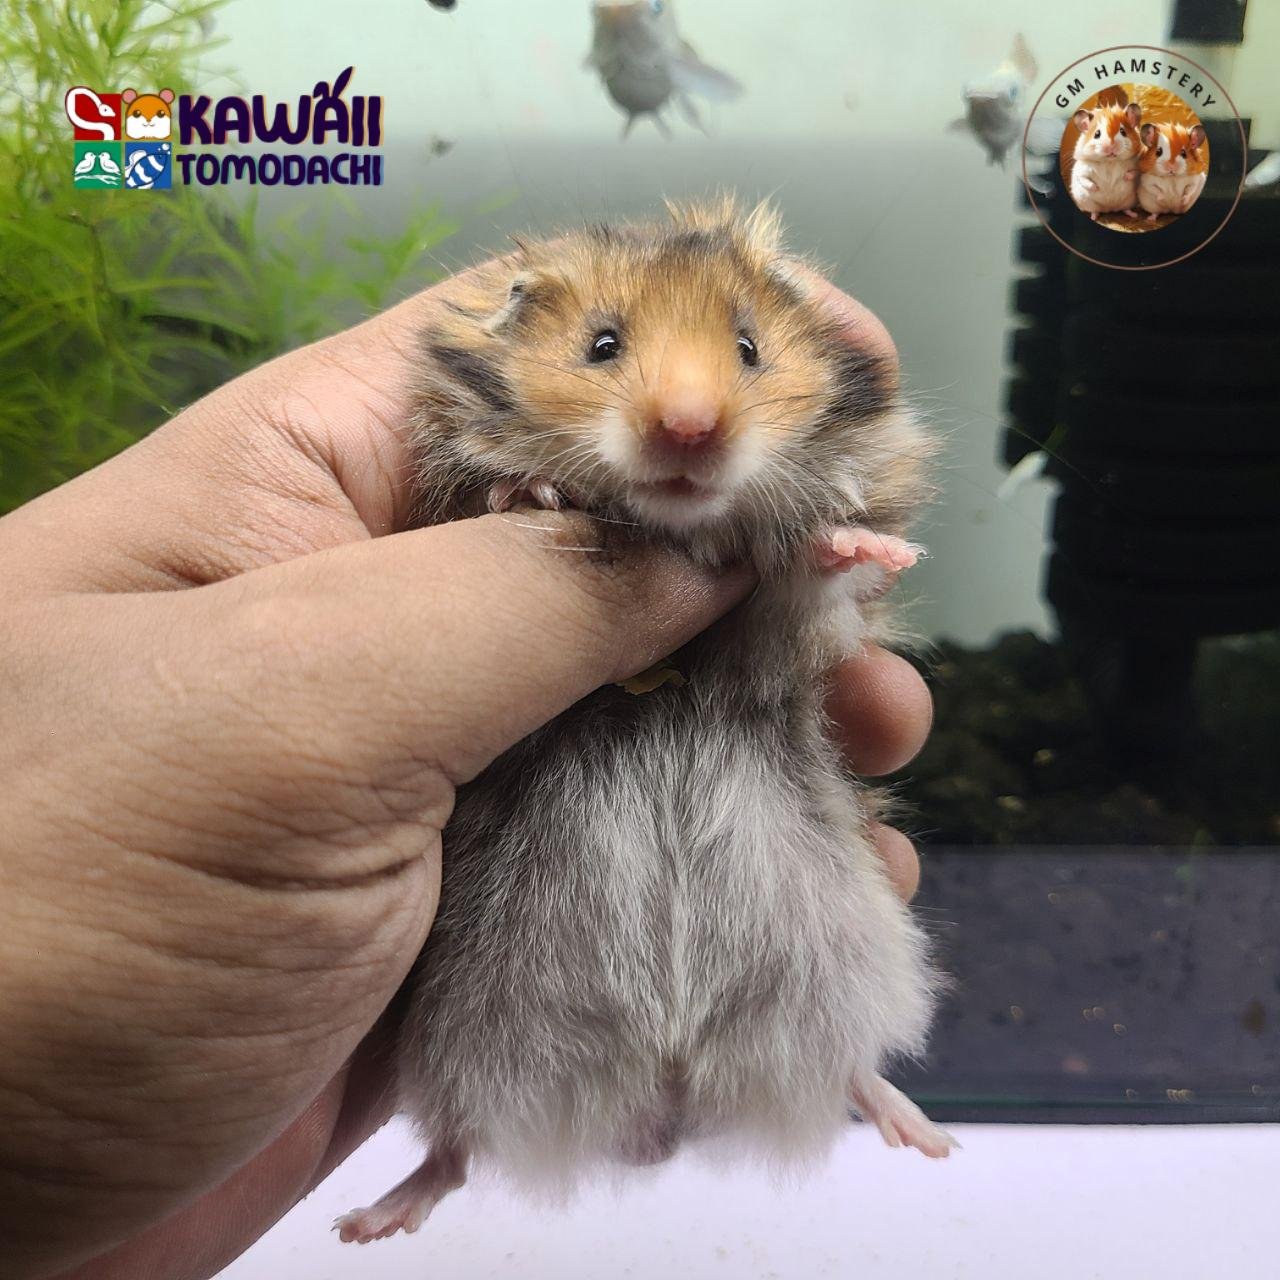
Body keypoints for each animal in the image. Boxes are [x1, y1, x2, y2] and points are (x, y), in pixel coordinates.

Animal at [335, 199, 952, 1245]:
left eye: (748, 348)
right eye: (602, 345)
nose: (691, 428)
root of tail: (665, 1104)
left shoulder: (775, 647)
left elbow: (806, 587)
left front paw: (866, 543)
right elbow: (492, 493)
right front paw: (531, 492)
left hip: (857, 969)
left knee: (858, 1072)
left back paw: (931, 1139)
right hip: (460, 1032)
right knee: (453, 1150)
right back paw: (368, 1222)